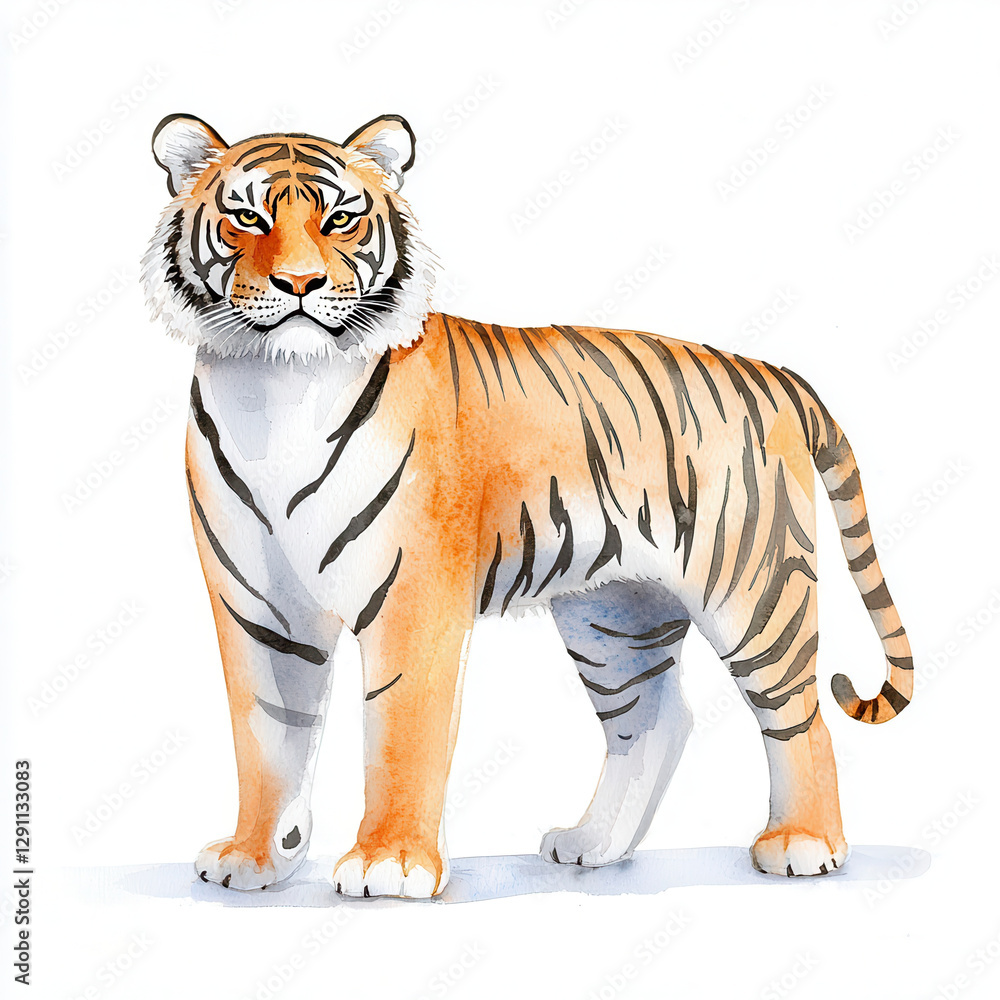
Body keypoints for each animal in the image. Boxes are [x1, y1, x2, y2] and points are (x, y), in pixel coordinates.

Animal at [143, 112, 913, 899]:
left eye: (341, 219)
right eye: (247, 218)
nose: (300, 282)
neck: (278, 389)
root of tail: (776, 373)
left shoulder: (413, 597)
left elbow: (402, 731)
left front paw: (390, 863)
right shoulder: (255, 605)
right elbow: (266, 736)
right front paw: (254, 857)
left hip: (755, 586)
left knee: (801, 718)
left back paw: (802, 844)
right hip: (614, 613)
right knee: (655, 720)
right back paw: (594, 844)